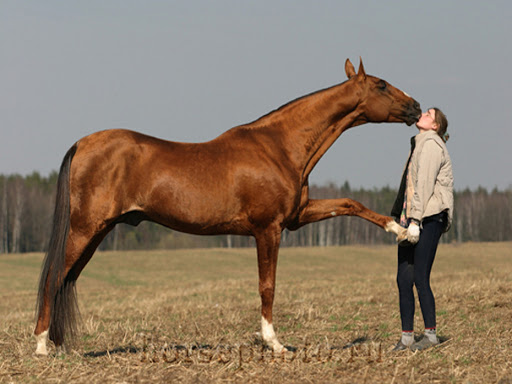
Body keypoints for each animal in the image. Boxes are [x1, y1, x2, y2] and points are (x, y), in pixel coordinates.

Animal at [35, 58, 420, 356]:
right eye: (382, 85)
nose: (416, 107)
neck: (279, 146)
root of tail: (82, 144)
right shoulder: (268, 229)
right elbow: (268, 285)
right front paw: (273, 343)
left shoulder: (297, 217)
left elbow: (350, 203)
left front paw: (403, 231)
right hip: (85, 229)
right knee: (55, 276)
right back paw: (40, 345)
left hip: (96, 232)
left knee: (66, 279)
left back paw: (57, 344)